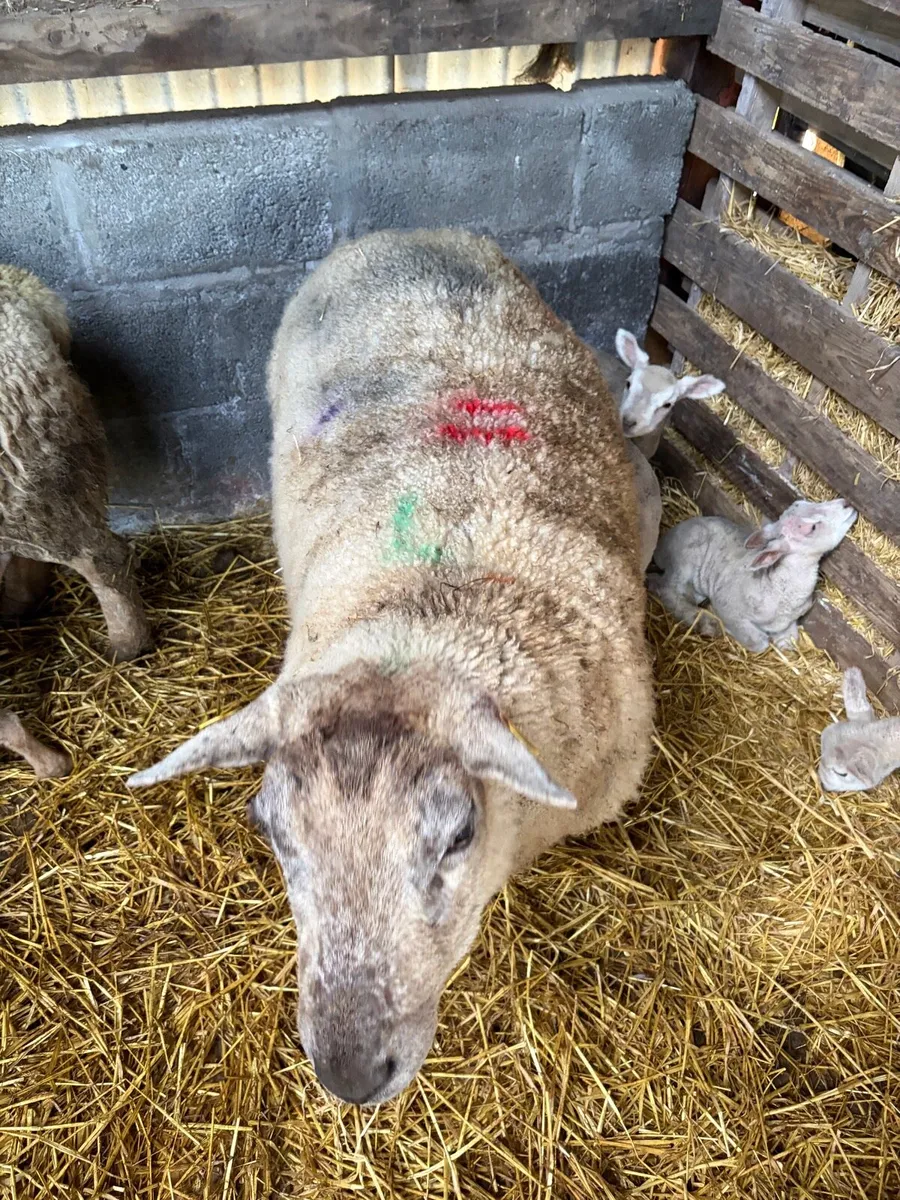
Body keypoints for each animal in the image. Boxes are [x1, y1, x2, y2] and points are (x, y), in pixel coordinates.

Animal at [647, 498, 857, 652]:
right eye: (811, 528)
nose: (846, 502)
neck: (776, 587)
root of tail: (660, 545)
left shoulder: (788, 624)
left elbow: (789, 643)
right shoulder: (728, 607)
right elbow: (759, 642)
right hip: (686, 560)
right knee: (665, 589)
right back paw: (707, 623)